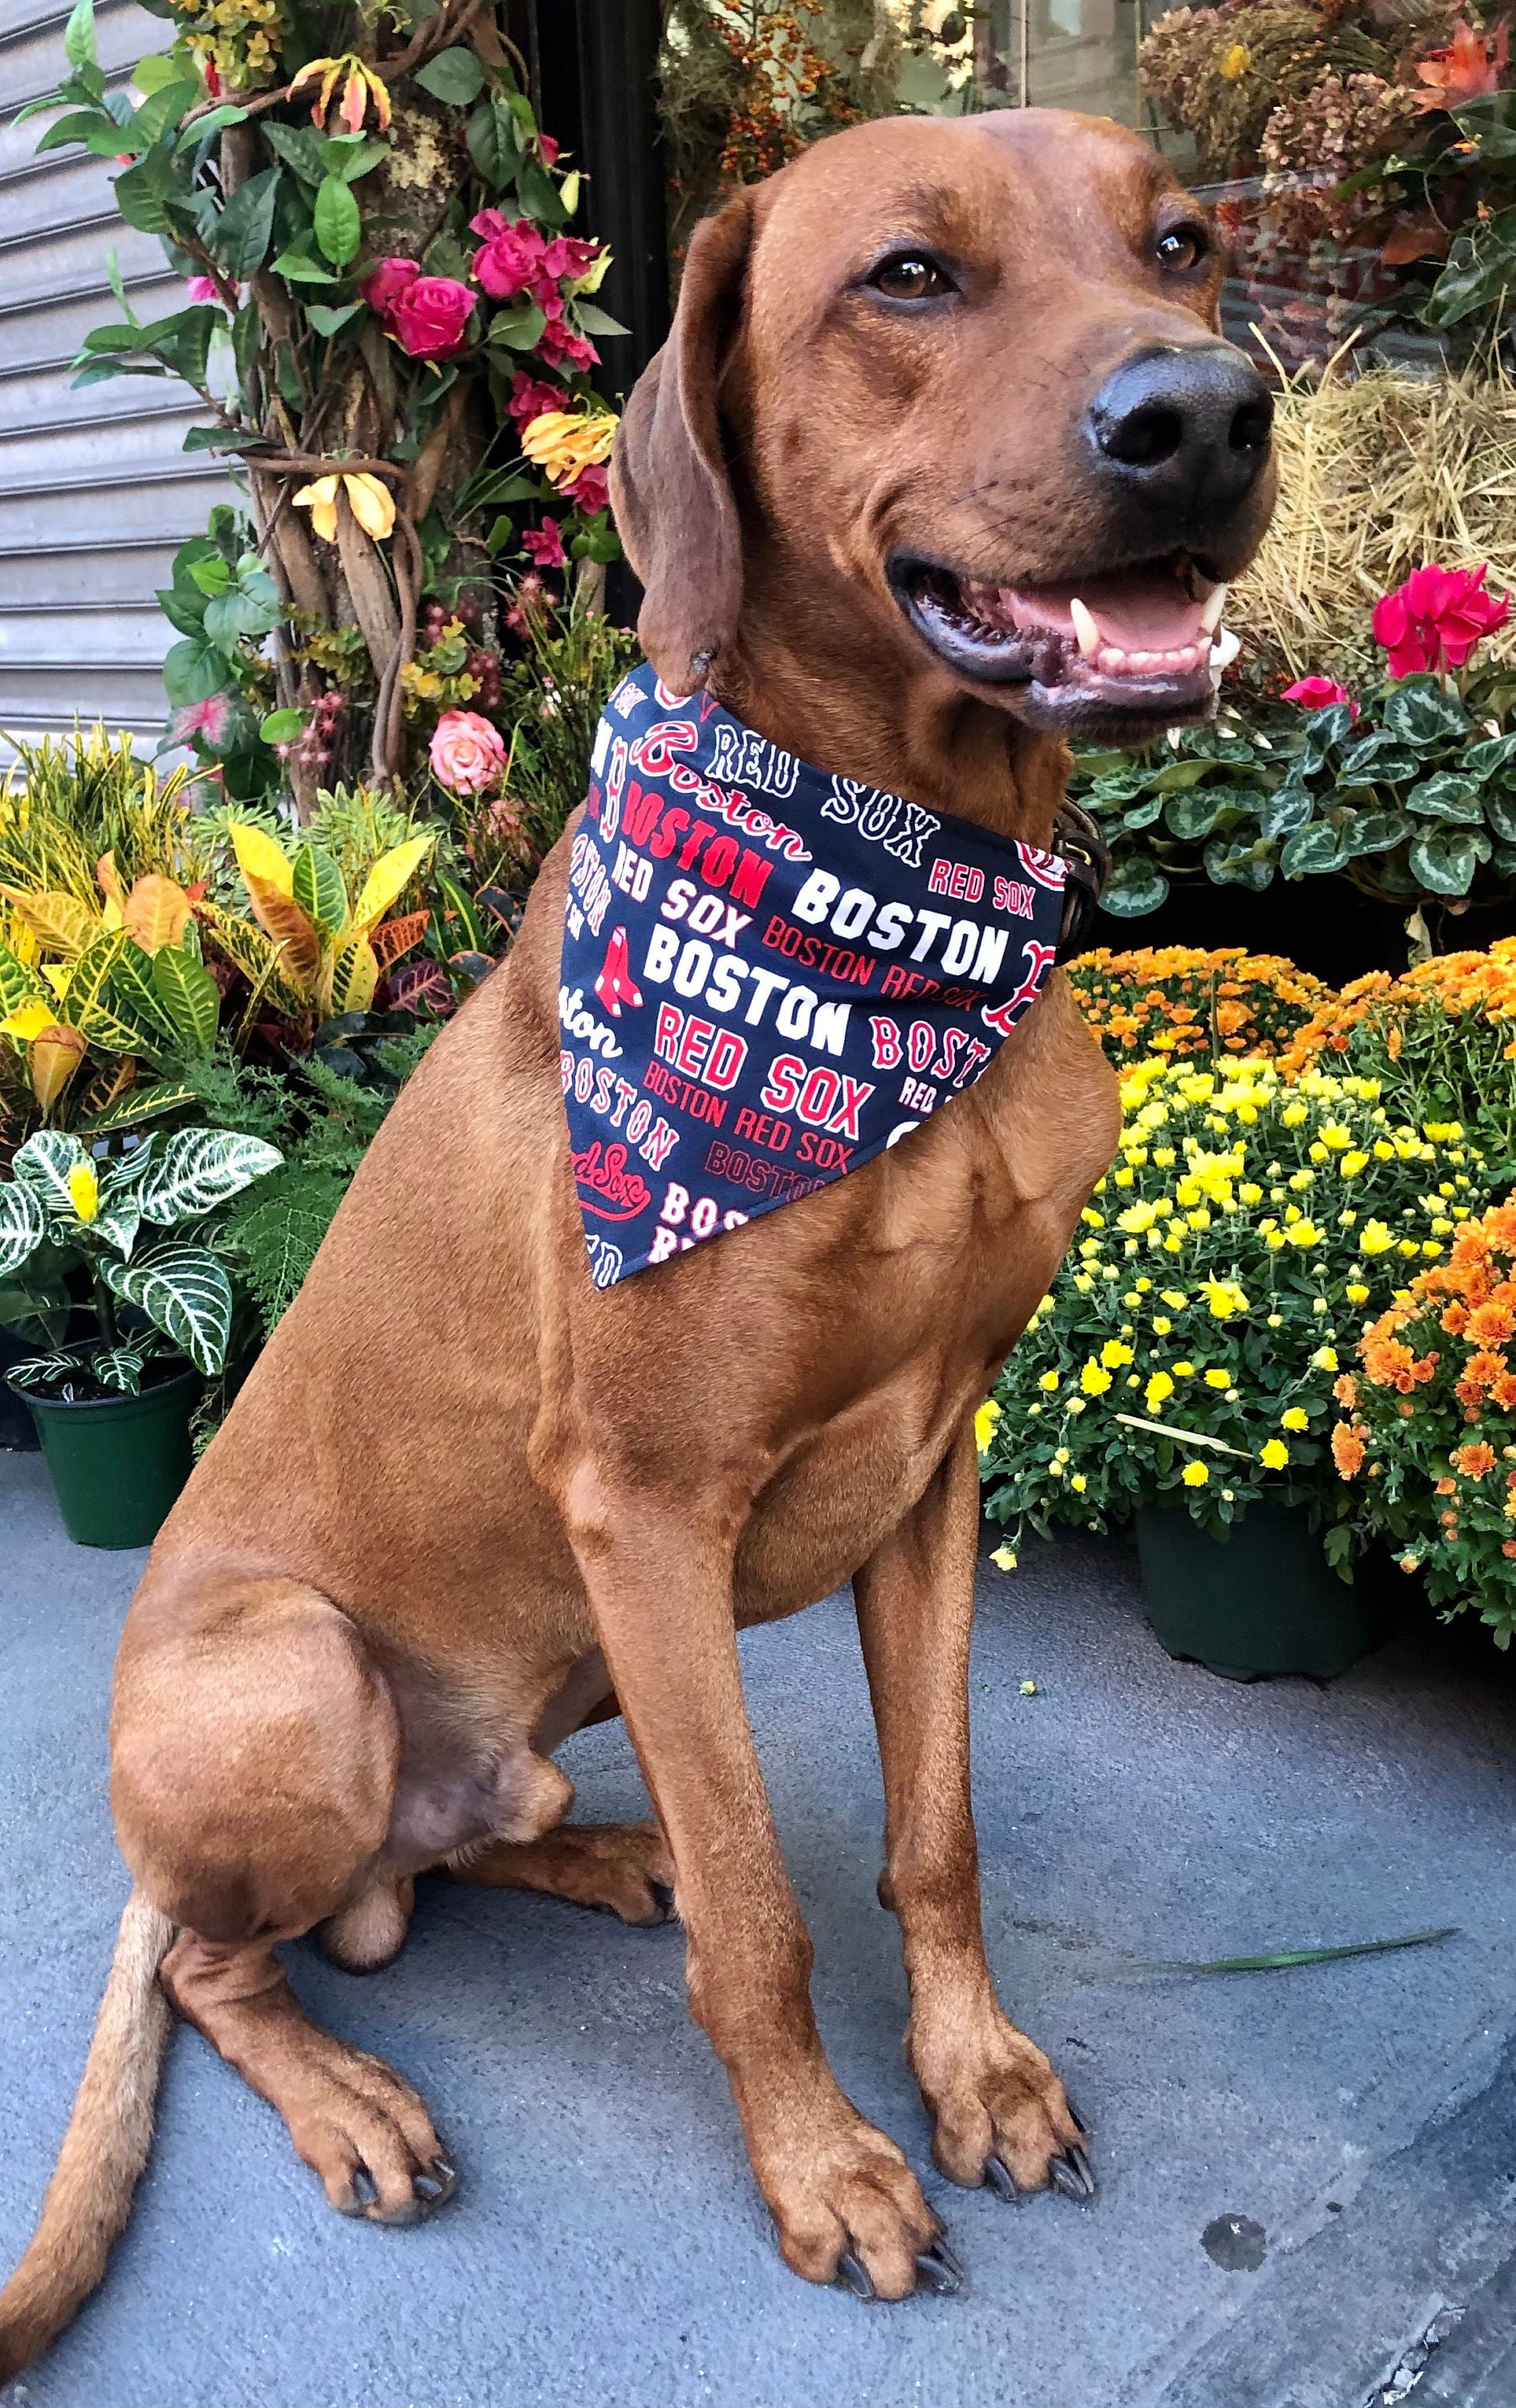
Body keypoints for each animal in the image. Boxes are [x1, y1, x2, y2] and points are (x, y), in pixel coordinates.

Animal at [0, 99, 1280, 2369]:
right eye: (905, 277)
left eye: (1180, 243)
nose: (1206, 410)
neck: (896, 894)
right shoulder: (647, 1504)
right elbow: (768, 1917)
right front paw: (827, 2165)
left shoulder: (930, 1465)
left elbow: (931, 1835)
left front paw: (971, 2072)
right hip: (299, 1682)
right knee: (237, 1964)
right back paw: (352, 2093)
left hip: (558, 1681)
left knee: (447, 1857)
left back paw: (599, 1856)